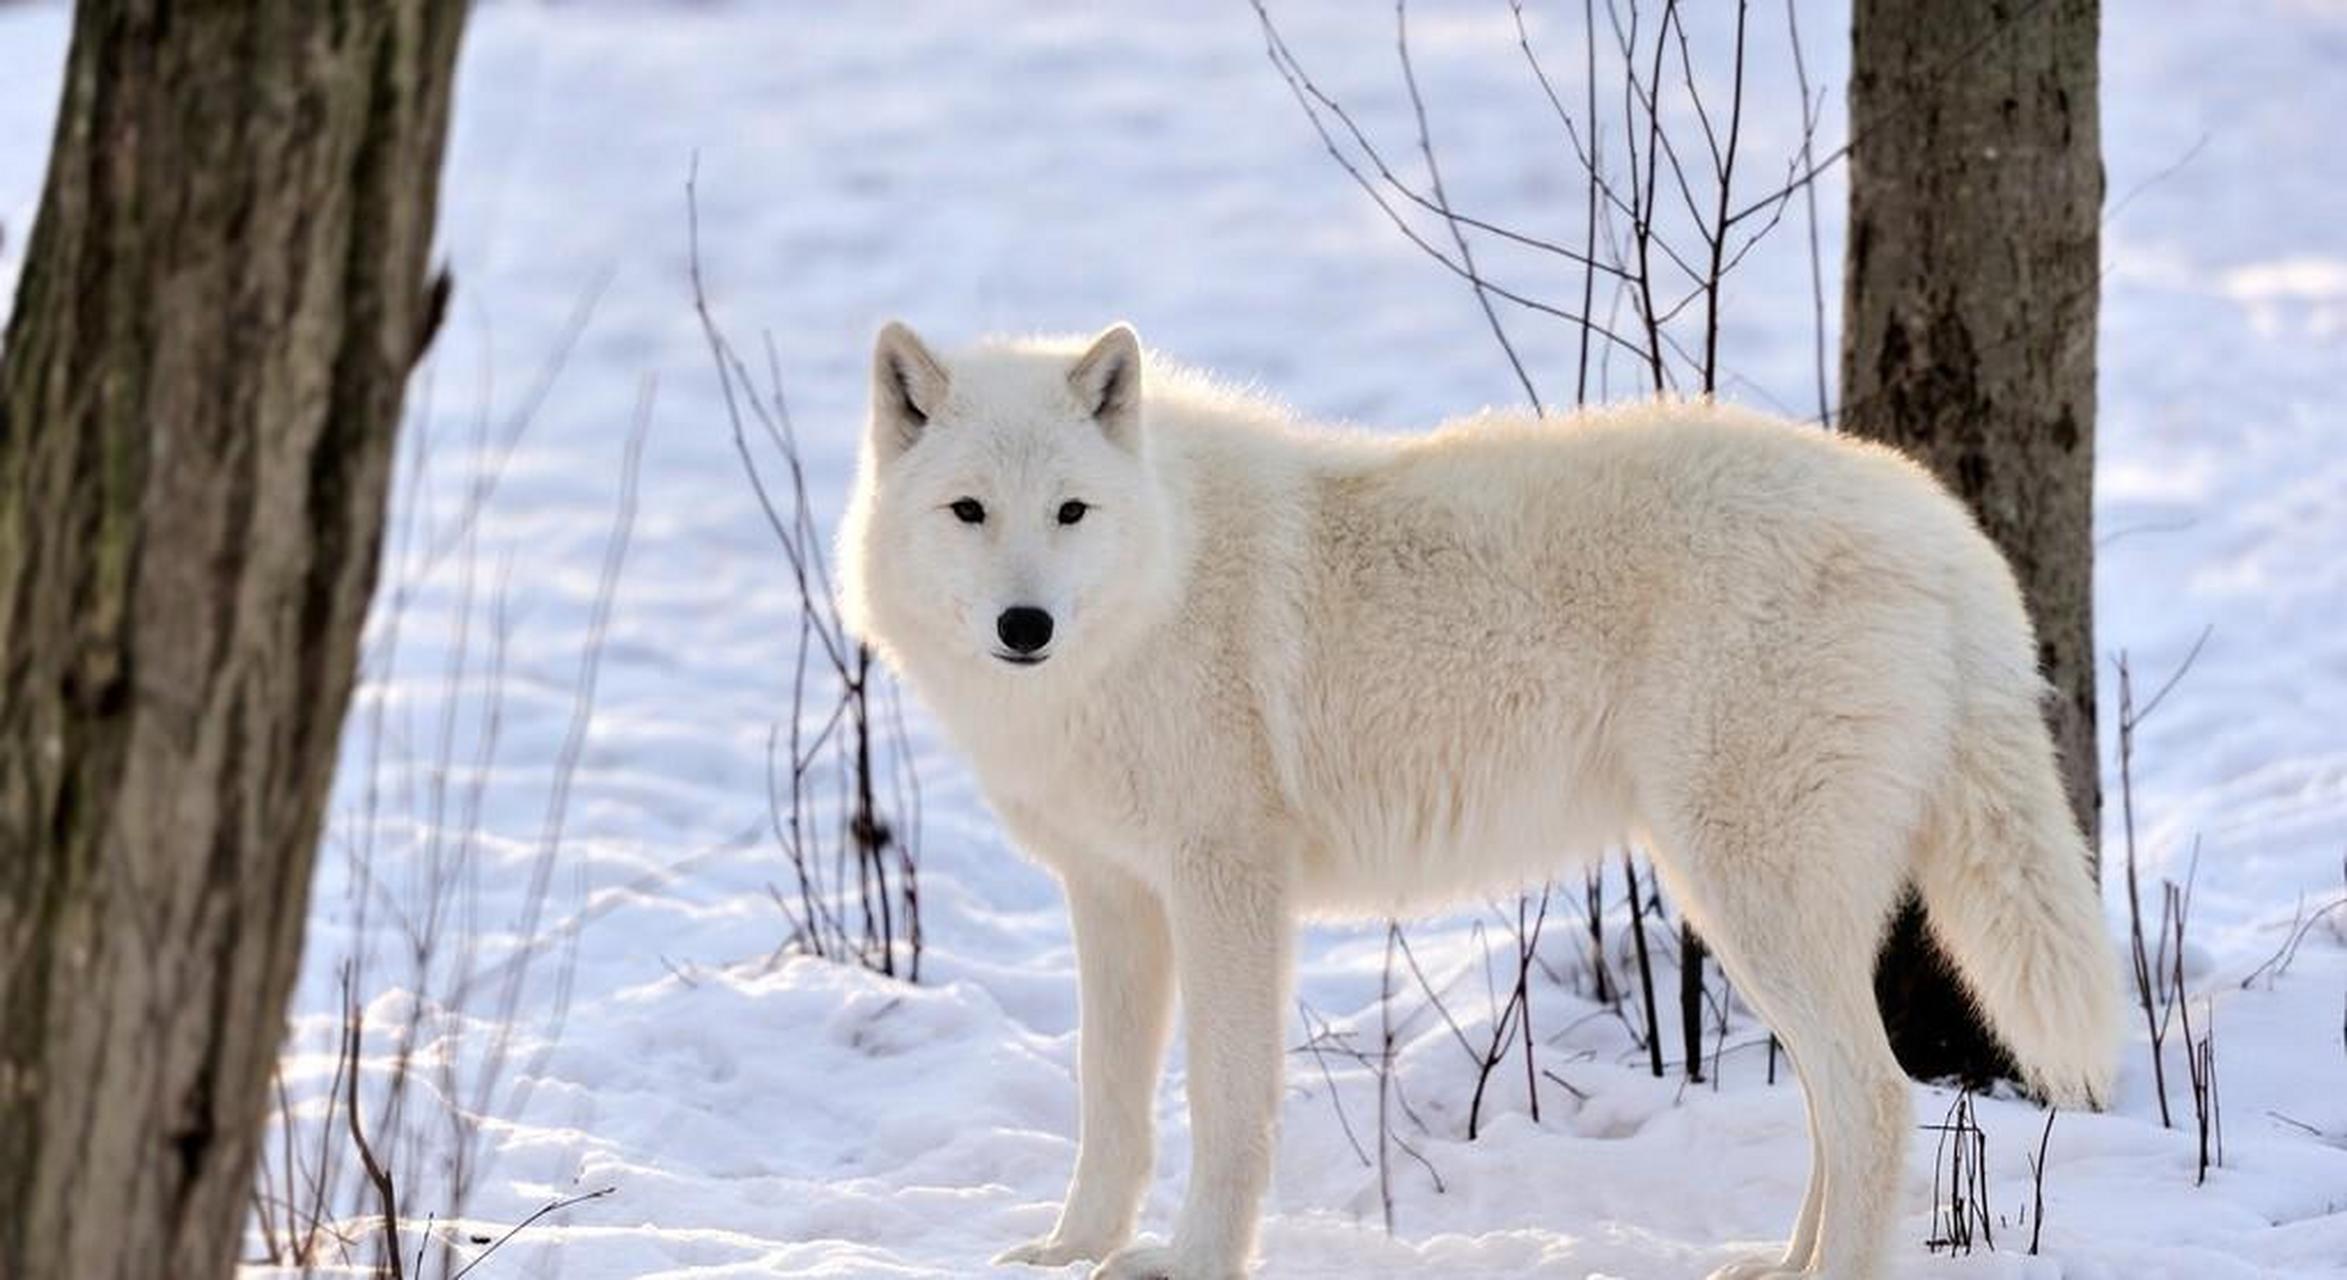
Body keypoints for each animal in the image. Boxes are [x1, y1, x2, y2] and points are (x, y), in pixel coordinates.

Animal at [835, 321, 2121, 1277]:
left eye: (1069, 512)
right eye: (968, 511)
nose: (1025, 625)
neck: (1162, 580)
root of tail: (1944, 532)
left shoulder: (1226, 883)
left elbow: (1226, 1102)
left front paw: (1191, 1260)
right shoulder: (1112, 895)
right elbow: (1108, 1102)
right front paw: (1071, 1248)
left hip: (1746, 895)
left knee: (1877, 1097)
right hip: (1753, 906)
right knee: (1840, 1103)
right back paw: (1781, 1261)